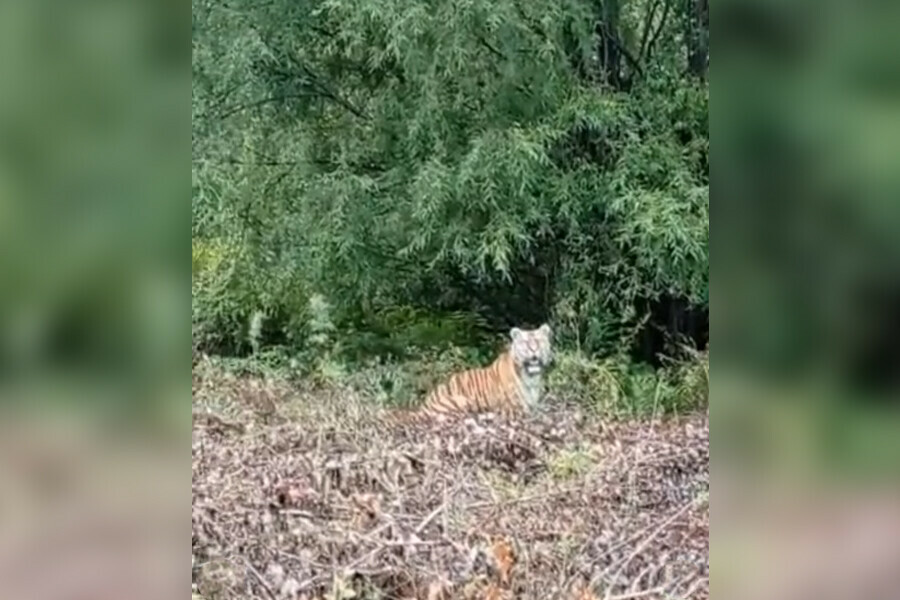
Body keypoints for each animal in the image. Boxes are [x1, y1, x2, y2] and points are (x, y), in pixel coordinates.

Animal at [388, 322, 552, 424]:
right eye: (525, 343)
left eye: (539, 341)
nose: (533, 349)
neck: (530, 377)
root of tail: (423, 407)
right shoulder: (513, 408)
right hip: (461, 401)